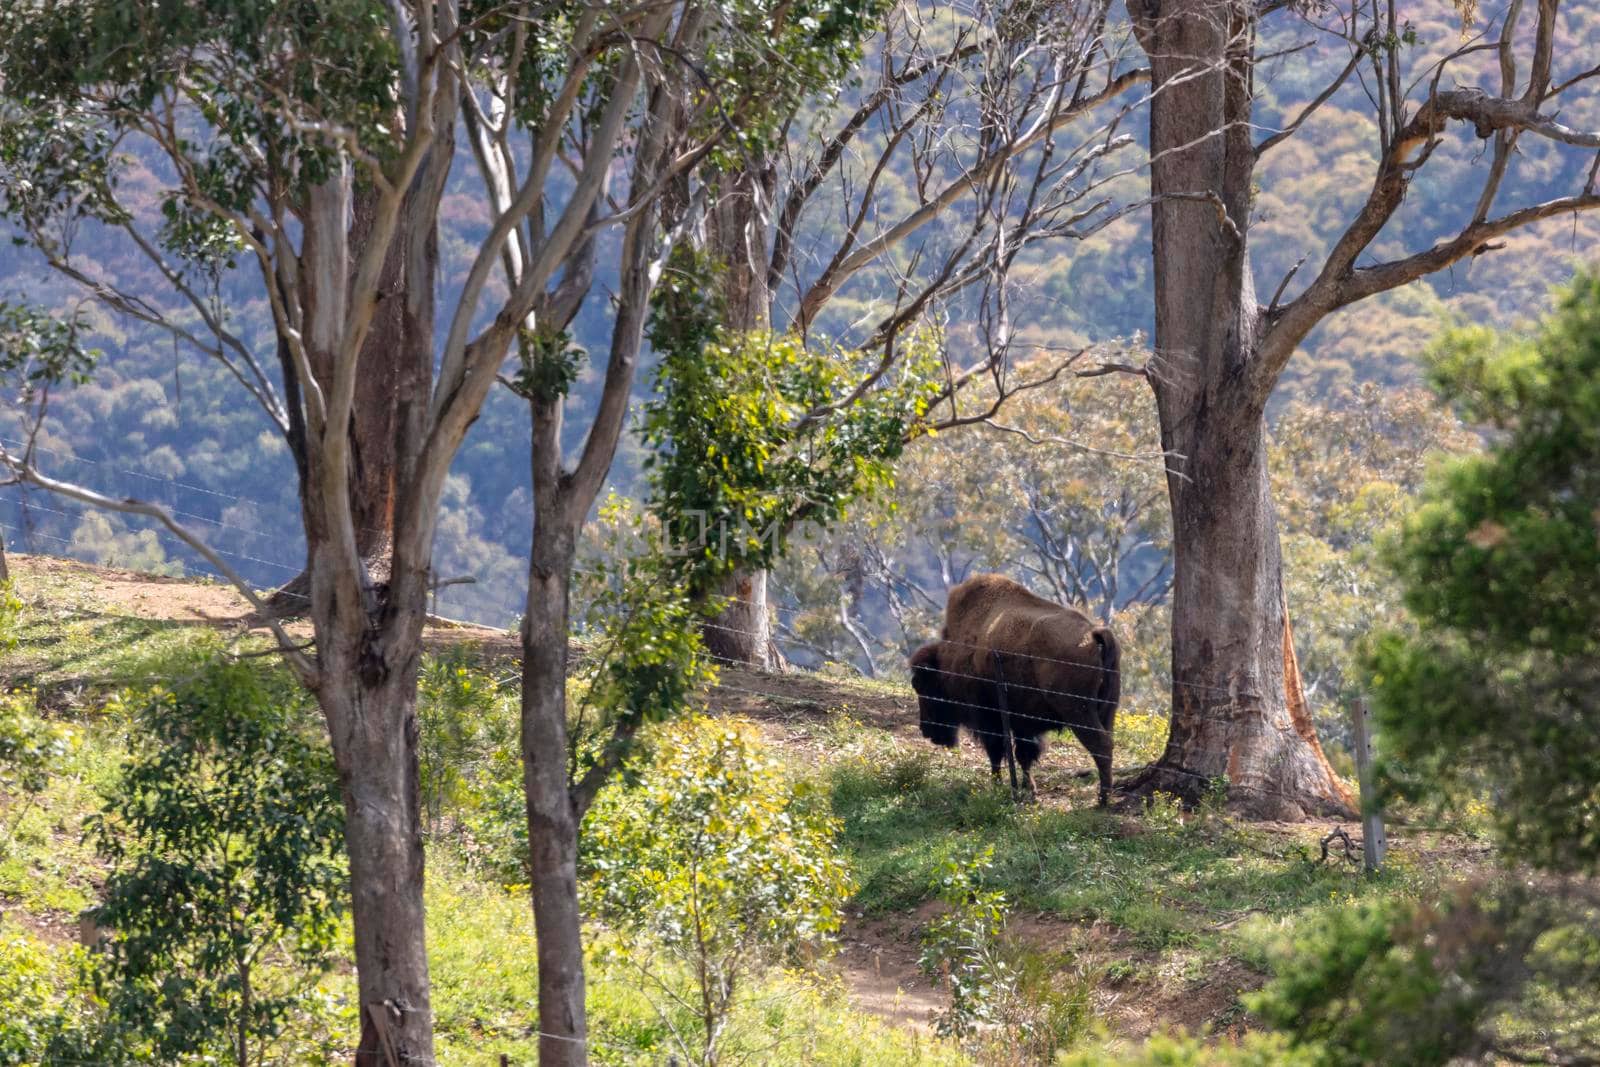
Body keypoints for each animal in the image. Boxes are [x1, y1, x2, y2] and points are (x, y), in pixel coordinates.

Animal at [908, 575, 1120, 799]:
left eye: (922, 686)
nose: (926, 730)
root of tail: (1094, 633)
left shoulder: (989, 718)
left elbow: (997, 751)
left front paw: (998, 785)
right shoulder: (1022, 723)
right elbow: (1023, 755)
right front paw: (1029, 789)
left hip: (1078, 712)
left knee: (1100, 746)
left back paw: (1103, 799)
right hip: (1108, 710)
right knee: (1108, 743)